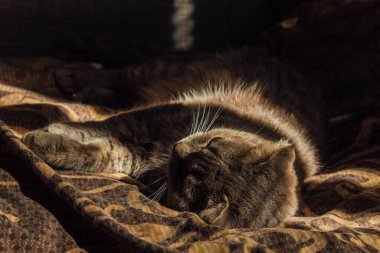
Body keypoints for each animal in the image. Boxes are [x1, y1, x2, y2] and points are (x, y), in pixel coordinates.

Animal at [22, 48, 328, 229]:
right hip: (161, 69)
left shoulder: (136, 155)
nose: (180, 148)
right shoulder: (153, 115)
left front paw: (46, 142)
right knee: (117, 75)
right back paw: (73, 76)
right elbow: (99, 125)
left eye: (188, 178)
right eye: (213, 142)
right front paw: (55, 128)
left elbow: (101, 153)